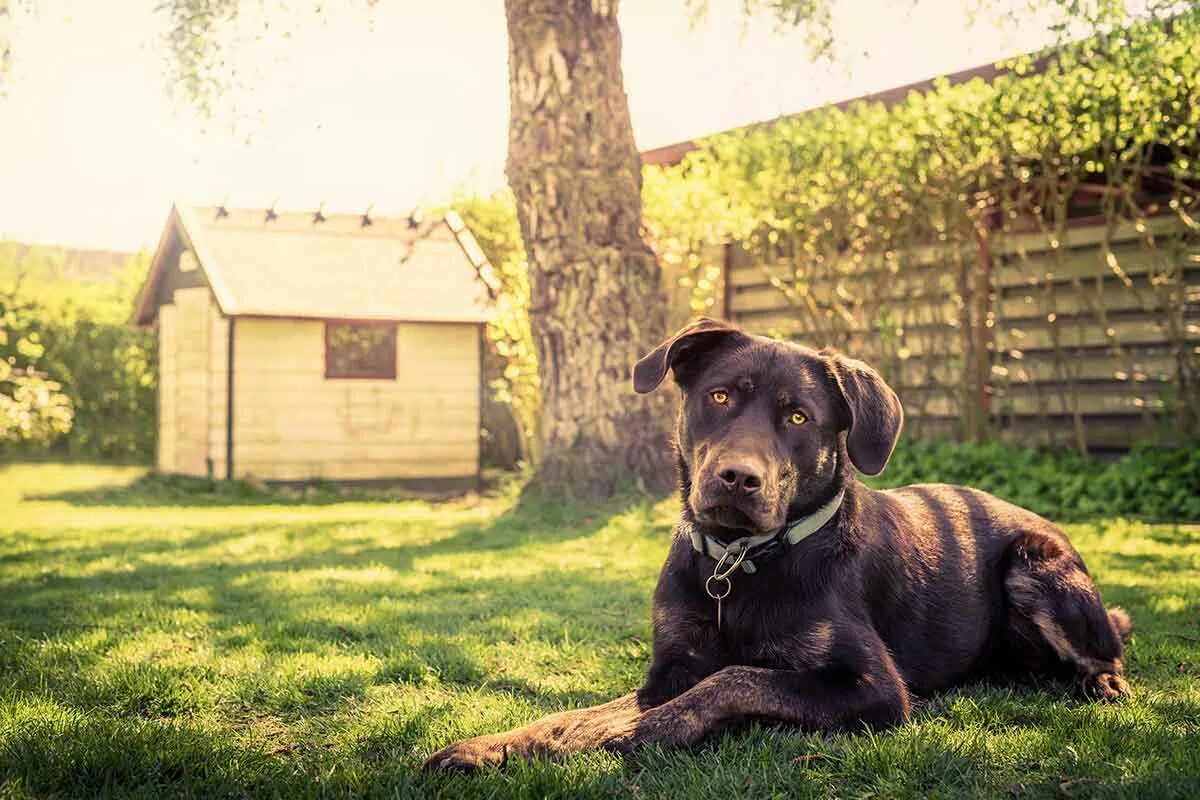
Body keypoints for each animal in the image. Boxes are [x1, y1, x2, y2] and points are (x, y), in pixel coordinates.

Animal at [424, 316, 1132, 767]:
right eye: (718, 396)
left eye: (798, 416)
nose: (739, 477)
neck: (743, 564)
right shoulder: (667, 668)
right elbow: (576, 715)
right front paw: (489, 746)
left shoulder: (873, 688)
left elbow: (736, 677)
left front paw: (648, 730)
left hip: (1037, 564)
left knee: (1111, 652)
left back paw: (1100, 682)